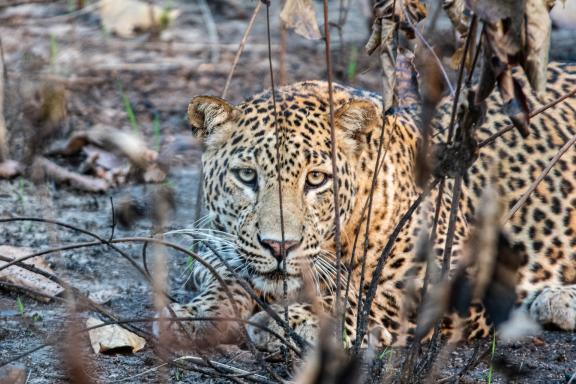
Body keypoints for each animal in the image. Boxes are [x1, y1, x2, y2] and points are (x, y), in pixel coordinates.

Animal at [160, 62, 576, 352]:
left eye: (316, 179)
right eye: (247, 176)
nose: (280, 246)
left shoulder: (473, 279)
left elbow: (367, 295)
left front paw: (290, 321)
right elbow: (227, 275)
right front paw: (195, 315)